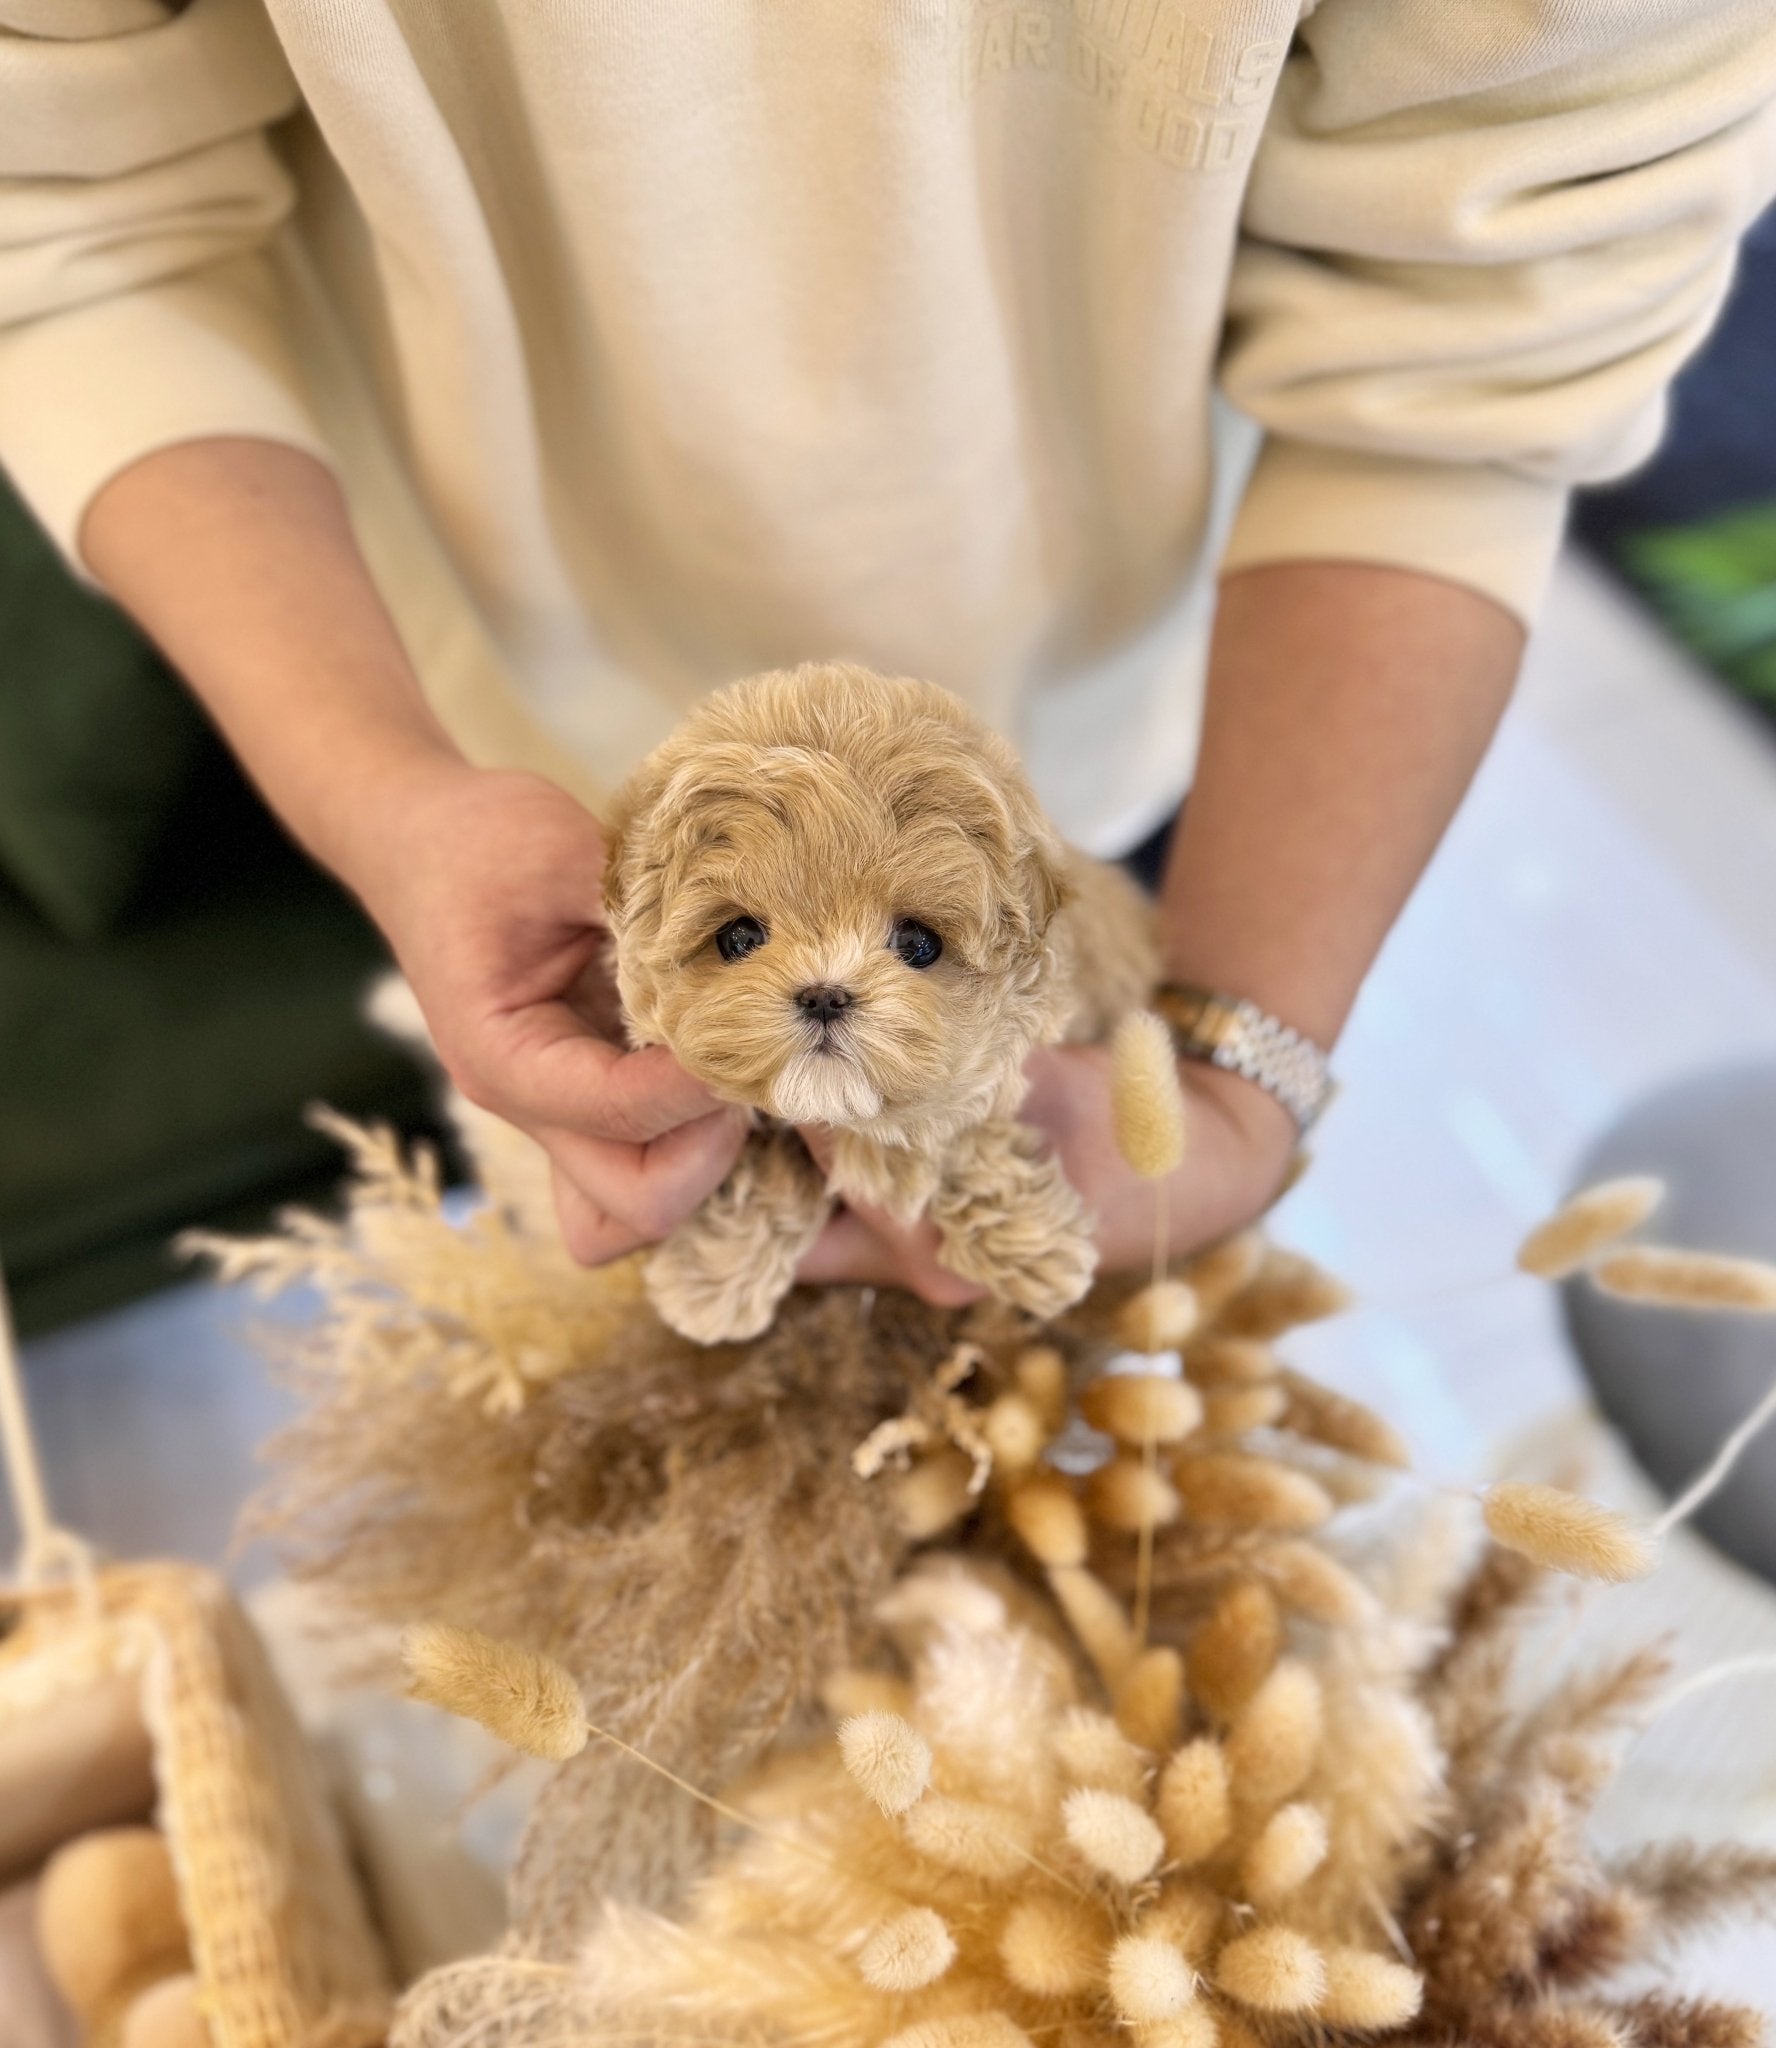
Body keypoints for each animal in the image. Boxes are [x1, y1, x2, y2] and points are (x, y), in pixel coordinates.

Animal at [602, 663, 1163, 1351]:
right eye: (737, 937)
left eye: (918, 943)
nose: (824, 994)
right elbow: (769, 1156)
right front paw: (715, 1280)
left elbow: (955, 1127)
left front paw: (1034, 1251)